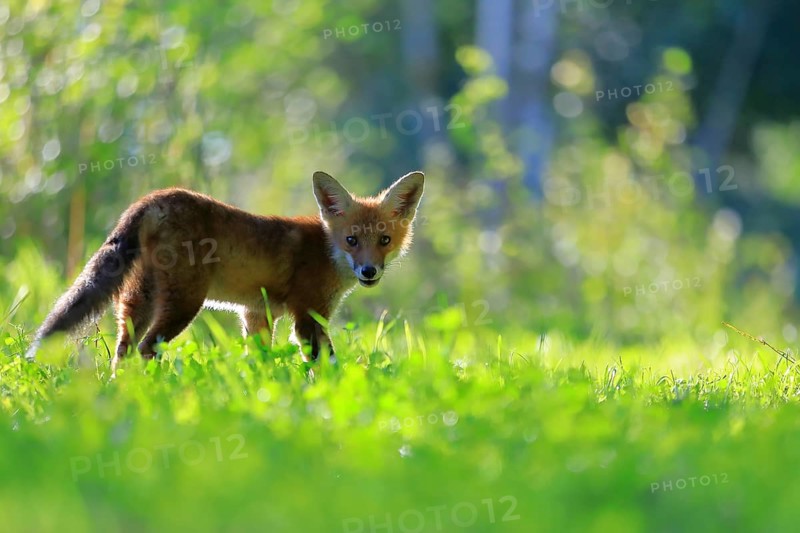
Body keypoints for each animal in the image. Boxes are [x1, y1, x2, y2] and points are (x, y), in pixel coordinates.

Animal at [27, 170, 425, 371]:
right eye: (352, 240)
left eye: (385, 240)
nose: (369, 272)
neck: (325, 249)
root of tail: (155, 198)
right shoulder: (308, 315)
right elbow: (325, 363)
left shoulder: (256, 314)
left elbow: (261, 361)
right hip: (184, 303)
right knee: (146, 347)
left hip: (137, 300)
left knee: (123, 349)